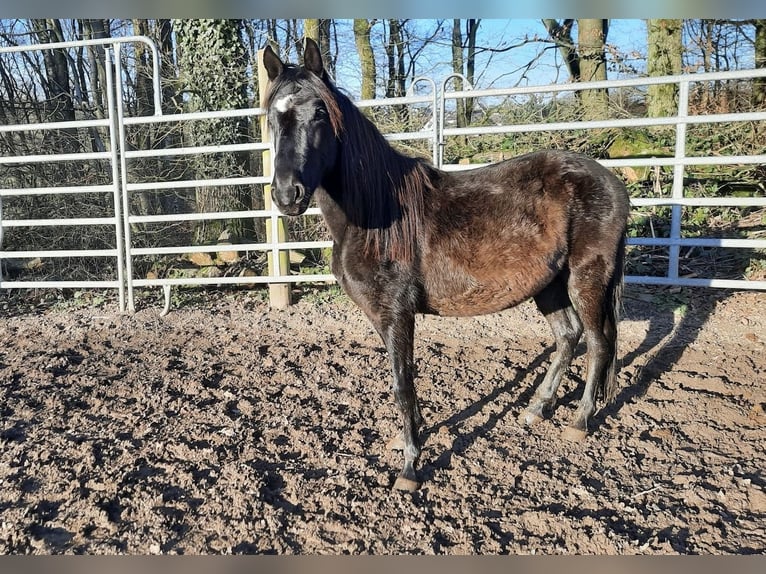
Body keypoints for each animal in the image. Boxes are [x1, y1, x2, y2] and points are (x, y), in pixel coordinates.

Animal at [260, 38, 632, 492]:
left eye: (319, 112)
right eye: (271, 117)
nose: (287, 195)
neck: (376, 214)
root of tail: (612, 182)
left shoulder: (397, 313)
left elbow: (402, 384)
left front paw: (409, 468)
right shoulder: (383, 316)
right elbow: (402, 378)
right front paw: (409, 438)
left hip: (587, 278)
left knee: (598, 343)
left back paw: (578, 422)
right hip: (549, 285)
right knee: (568, 336)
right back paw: (537, 408)